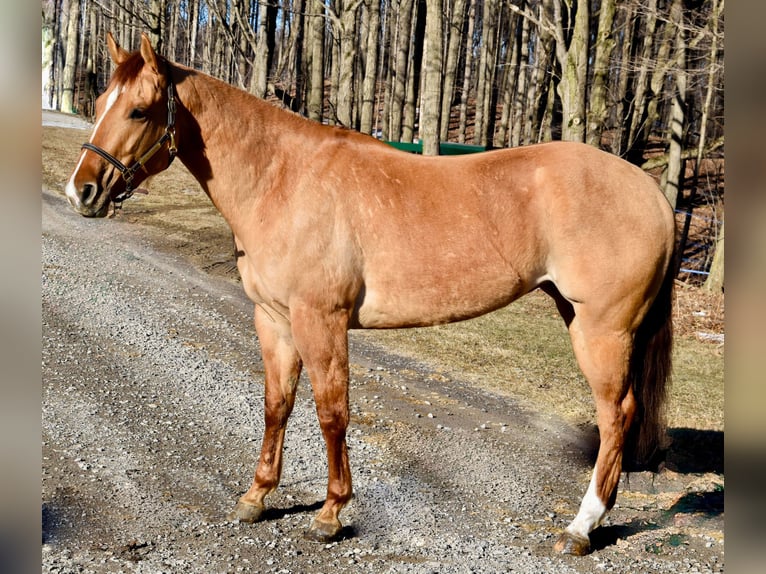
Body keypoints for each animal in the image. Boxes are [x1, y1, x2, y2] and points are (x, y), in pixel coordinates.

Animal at [67, 32, 680, 560]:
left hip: (602, 331)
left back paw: (582, 526)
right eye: (99, 101)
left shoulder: (321, 320)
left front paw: (331, 513)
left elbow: (331, 412)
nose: (82, 191)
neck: (282, 179)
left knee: (616, 416)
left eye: (138, 110)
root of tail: (651, 191)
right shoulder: (273, 320)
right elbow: (276, 406)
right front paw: (257, 496)